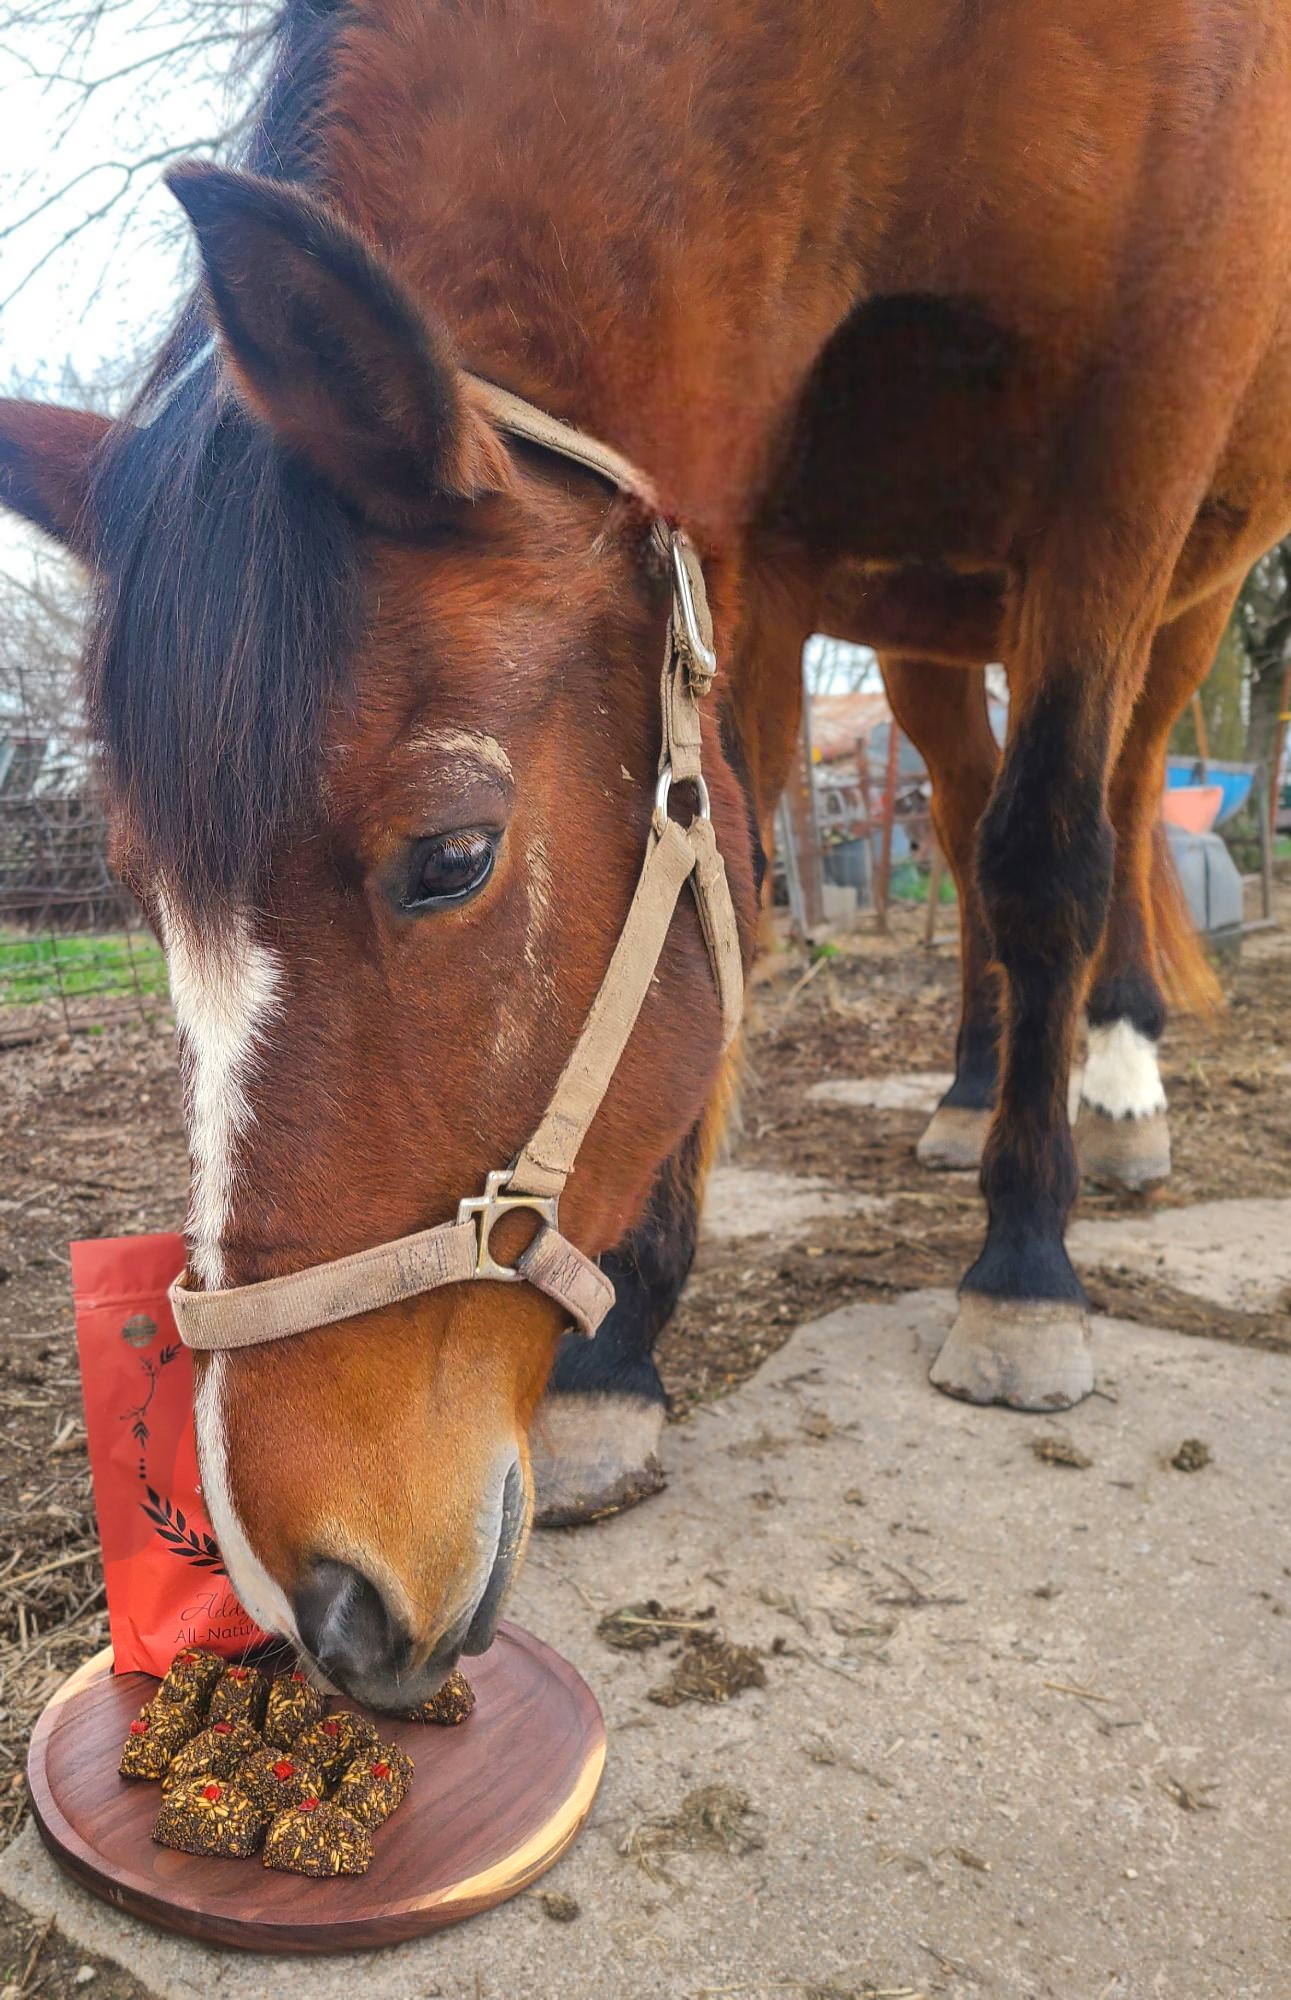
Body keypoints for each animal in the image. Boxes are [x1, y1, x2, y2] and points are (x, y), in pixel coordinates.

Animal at [3, 0, 1290, 1710]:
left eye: (450, 856)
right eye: (143, 904)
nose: (320, 1608)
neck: (919, 63)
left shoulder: (1133, 421)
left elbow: (1045, 860)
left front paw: (1022, 1268)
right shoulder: (751, 516)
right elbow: (735, 888)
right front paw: (622, 1359)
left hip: (1183, 589)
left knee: (1109, 798)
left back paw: (1115, 1084)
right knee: (954, 820)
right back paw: (962, 1092)